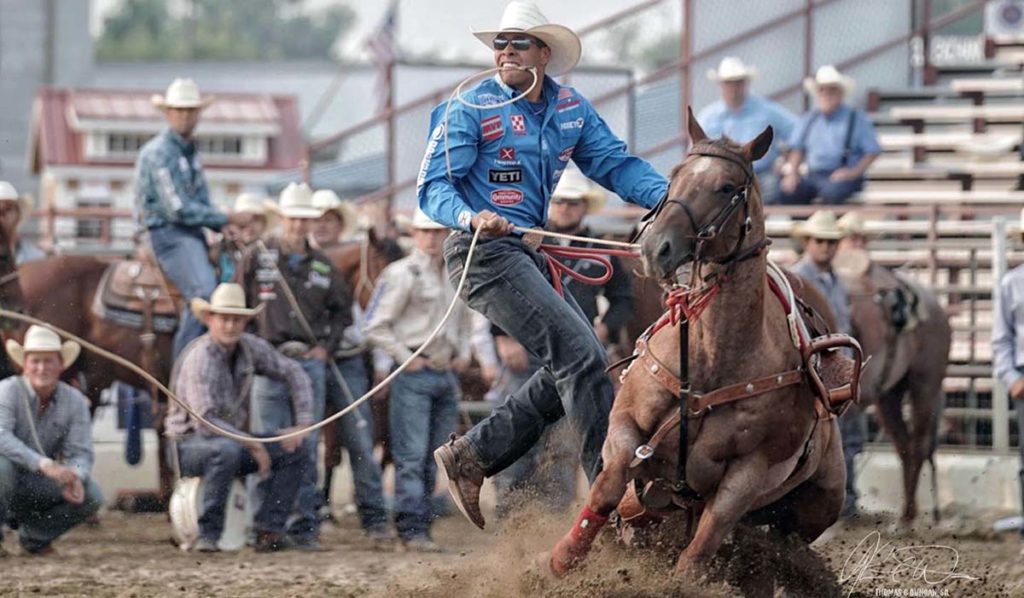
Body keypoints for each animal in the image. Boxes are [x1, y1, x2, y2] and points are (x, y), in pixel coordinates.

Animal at [544, 109, 856, 577]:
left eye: (726, 187)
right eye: (674, 176)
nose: (656, 247)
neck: (711, 358)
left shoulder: (749, 473)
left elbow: (701, 548)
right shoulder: (627, 423)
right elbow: (608, 484)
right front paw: (563, 558)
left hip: (809, 514)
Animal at [831, 249, 950, 524]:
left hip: (925, 384)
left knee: (918, 446)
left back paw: (907, 518)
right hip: (888, 396)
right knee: (904, 445)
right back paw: (906, 515)